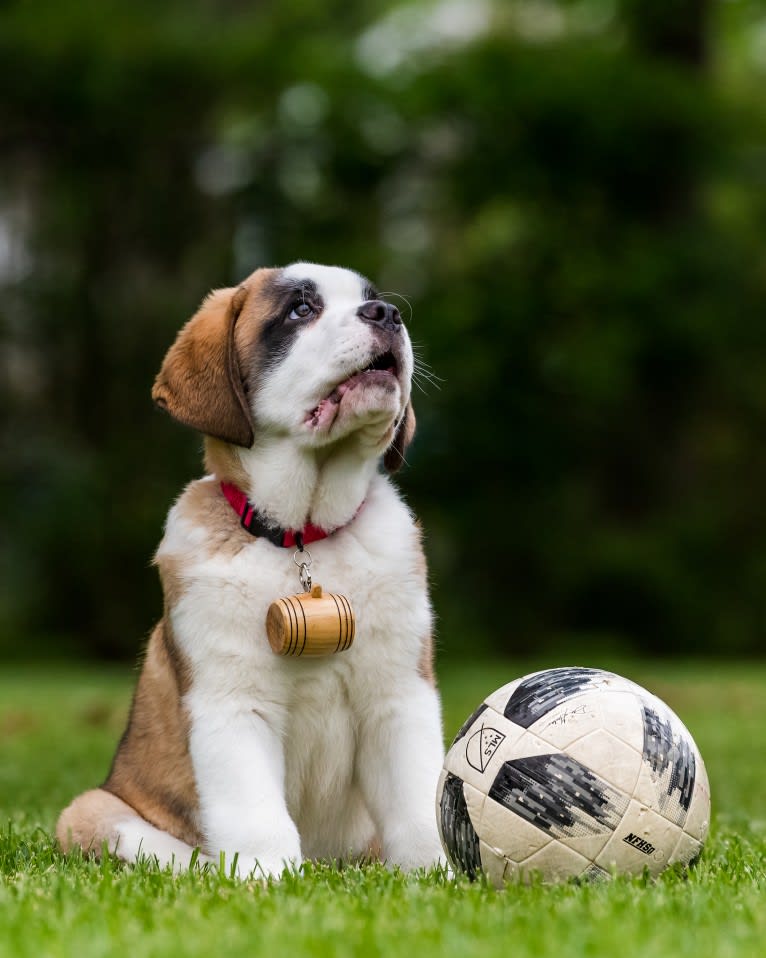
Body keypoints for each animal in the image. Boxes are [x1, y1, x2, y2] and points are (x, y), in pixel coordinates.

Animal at [57, 260, 448, 876]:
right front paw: (272, 882)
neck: (301, 537)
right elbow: (256, 815)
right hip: (89, 810)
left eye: (373, 299)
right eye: (300, 310)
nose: (387, 314)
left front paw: (440, 877)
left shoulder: (399, 693)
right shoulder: (230, 702)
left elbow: (416, 806)